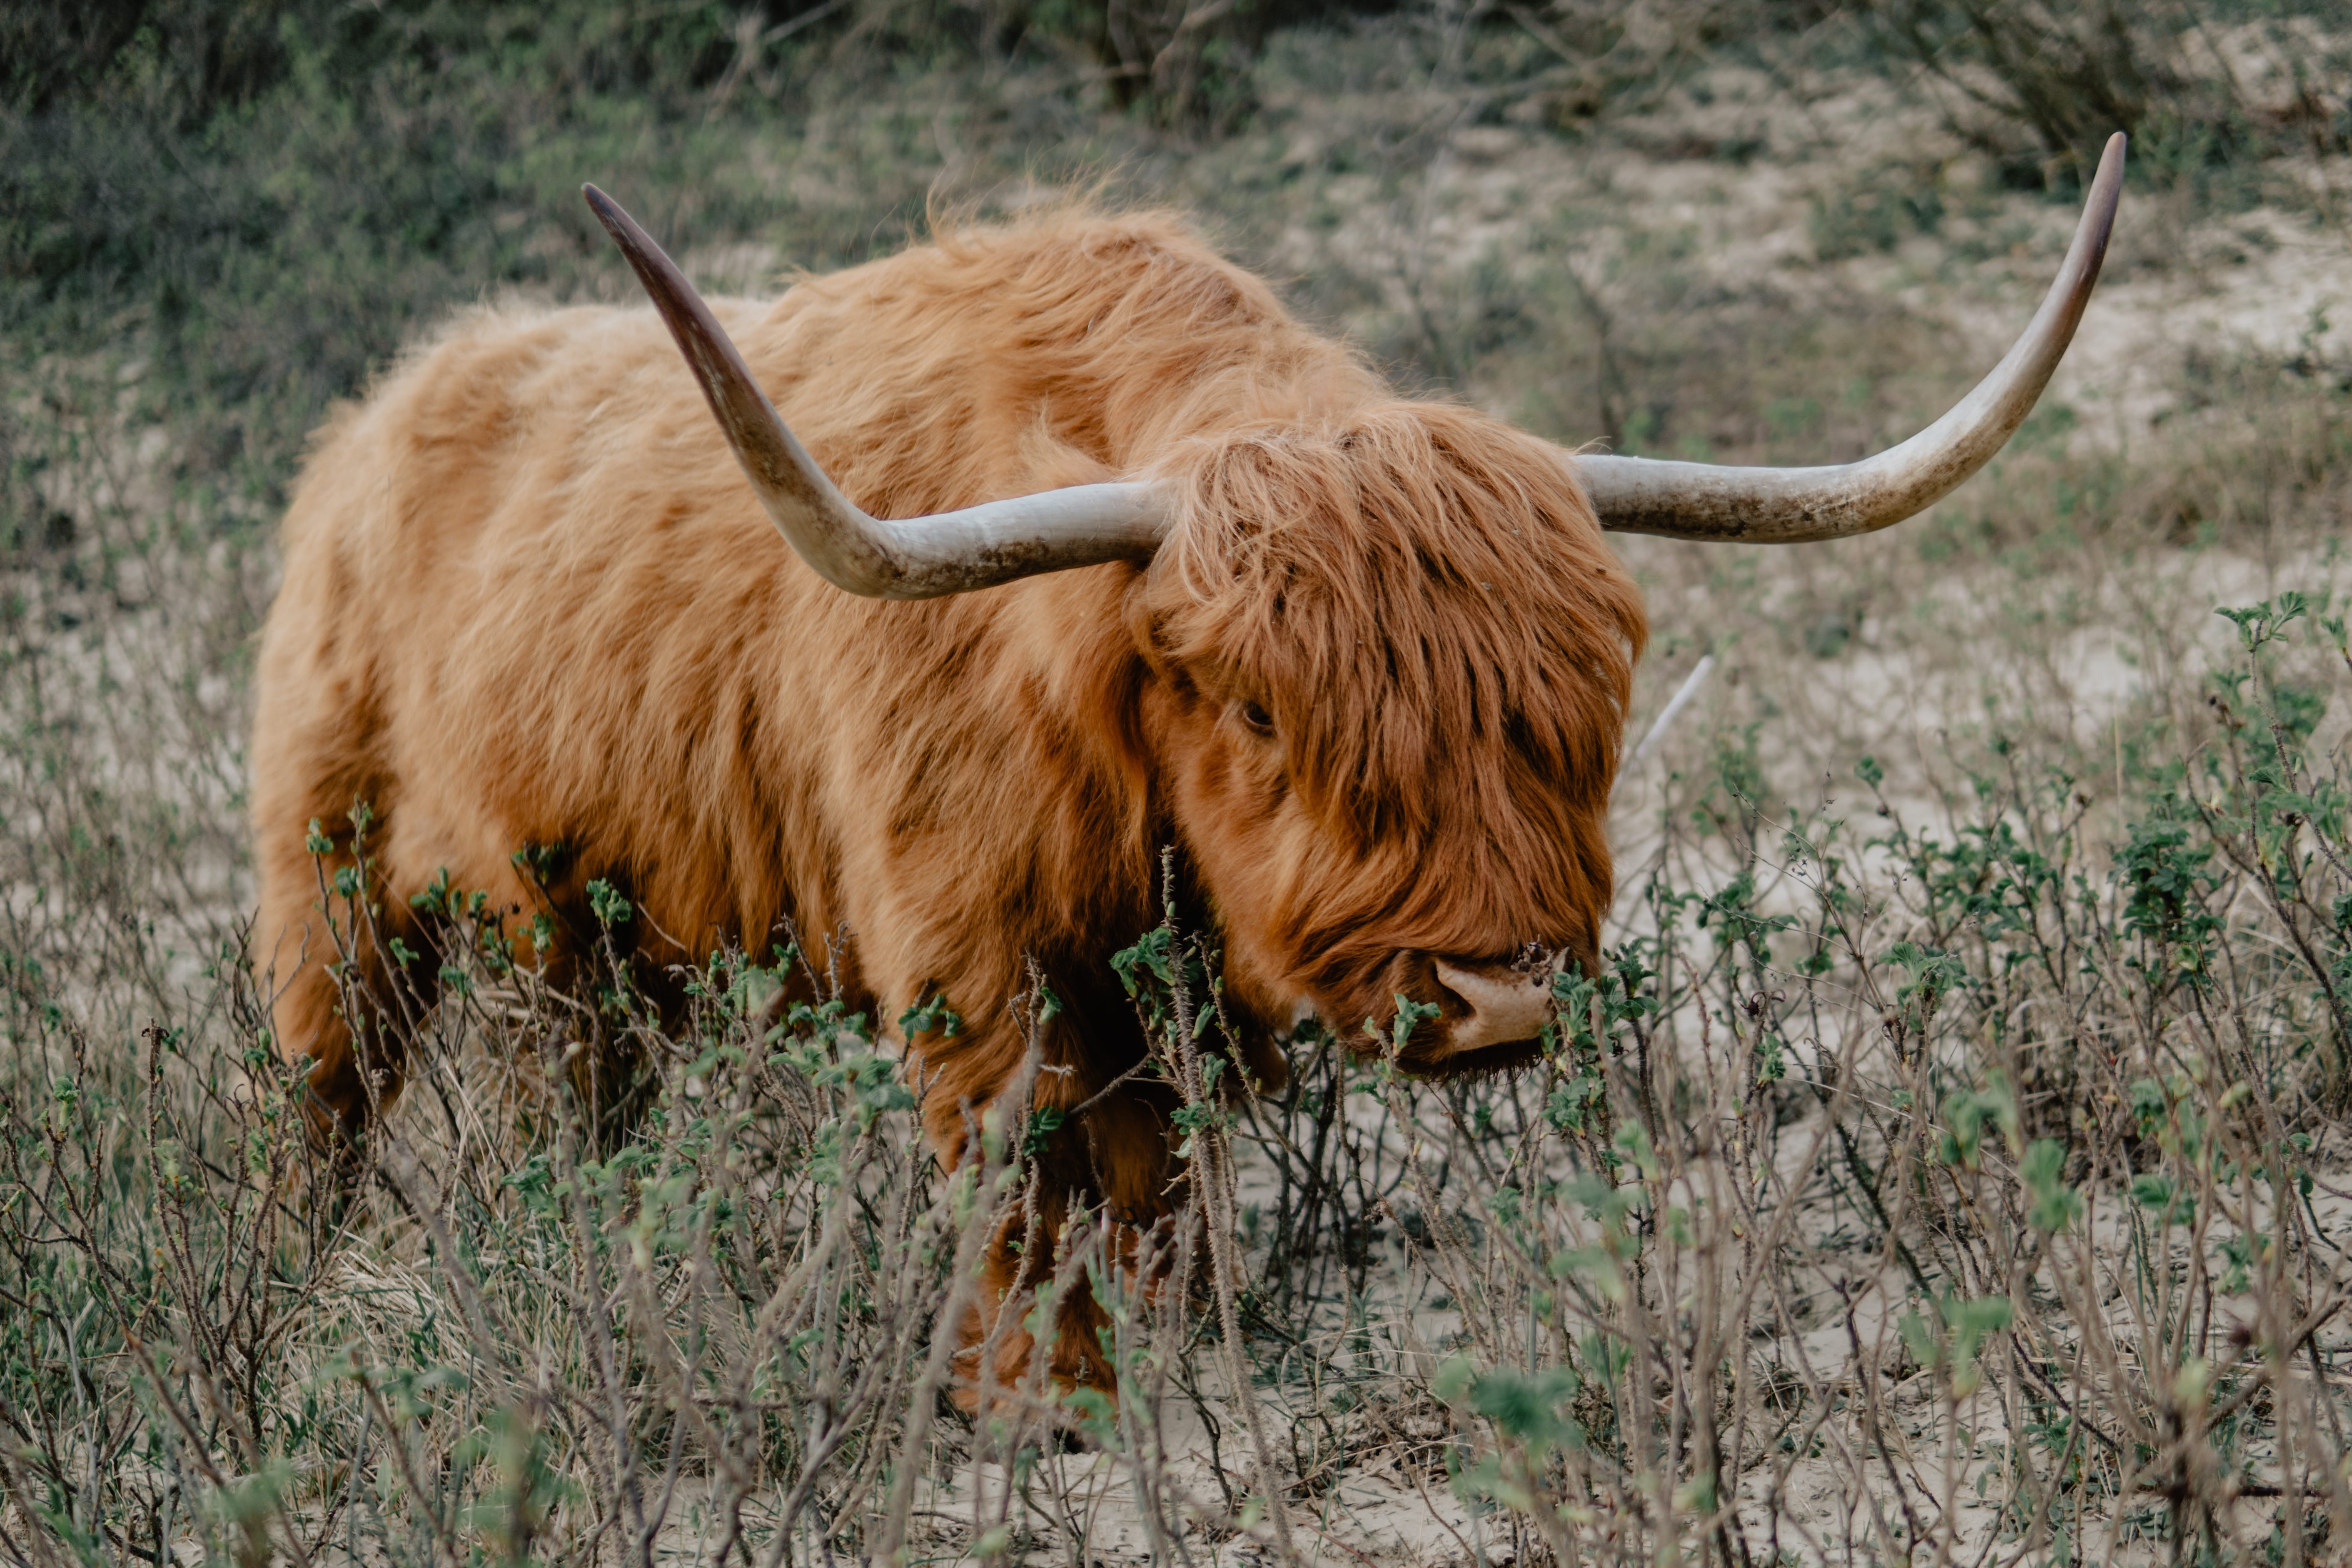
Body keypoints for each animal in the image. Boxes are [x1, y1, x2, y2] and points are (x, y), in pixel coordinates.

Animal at [250, 134, 2124, 1400]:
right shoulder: (972, 958)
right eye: (1253, 709)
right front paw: (1043, 1399)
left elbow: (1154, 1182)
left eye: (1587, 687)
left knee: (580, 1105)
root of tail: (383, 409)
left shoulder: (1158, 982)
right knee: (330, 1091)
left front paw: (1187, 1350)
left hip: (594, 941)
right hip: (332, 879)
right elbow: (1019, 1182)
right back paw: (286, 1302)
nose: (1499, 999)